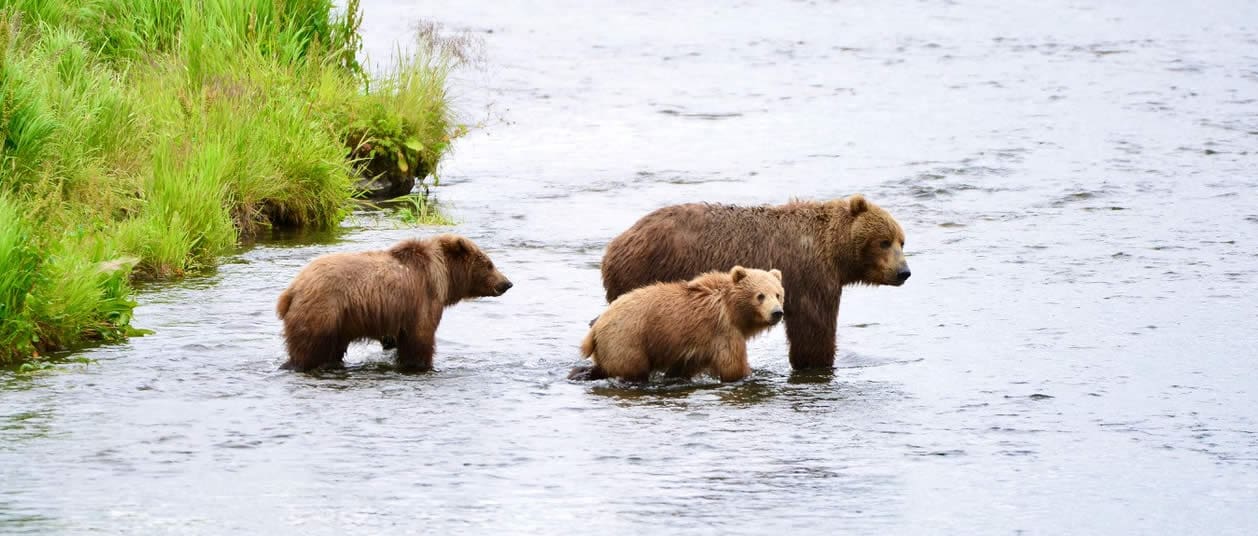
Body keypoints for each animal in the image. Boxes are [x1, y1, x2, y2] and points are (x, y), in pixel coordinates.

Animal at [276, 234, 512, 372]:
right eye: (489, 264)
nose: (506, 283)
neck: (445, 278)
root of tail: (291, 290)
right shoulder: (423, 299)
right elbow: (420, 339)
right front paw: (420, 365)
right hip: (324, 311)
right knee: (309, 350)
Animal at [571, 266, 785, 383]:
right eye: (760, 295)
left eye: (778, 294)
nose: (777, 313)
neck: (733, 310)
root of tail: (595, 328)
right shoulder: (723, 331)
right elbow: (733, 367)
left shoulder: (697, 347)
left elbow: (684, 368)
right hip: (627, 340)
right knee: (633, 369)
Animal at [600, 194, 908, 371]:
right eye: (884, 241)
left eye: (901, 241)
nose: (904, 272)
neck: (834, 252)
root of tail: (614, 246)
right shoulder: (811, 276)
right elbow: (813, 330)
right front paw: (816, 362)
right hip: (645, 272)